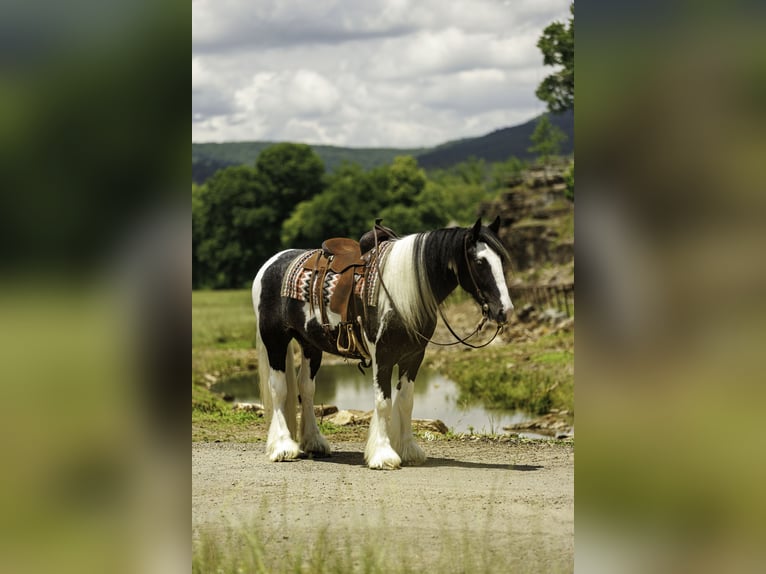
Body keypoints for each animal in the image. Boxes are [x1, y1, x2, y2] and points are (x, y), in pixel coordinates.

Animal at [251, 217, 513, 469]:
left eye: (501, 259)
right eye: (479, 262)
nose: (505, 311)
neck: (402, 292)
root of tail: (271, 263)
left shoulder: (413, 356)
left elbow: (406, 402)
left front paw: (408, 450)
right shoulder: (383, 357)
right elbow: (383, 402)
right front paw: (383, 454)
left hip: (310, 345)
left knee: (306, 388)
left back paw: (314, 442)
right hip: (275, 340)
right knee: (279, 389)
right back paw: (283, 447)